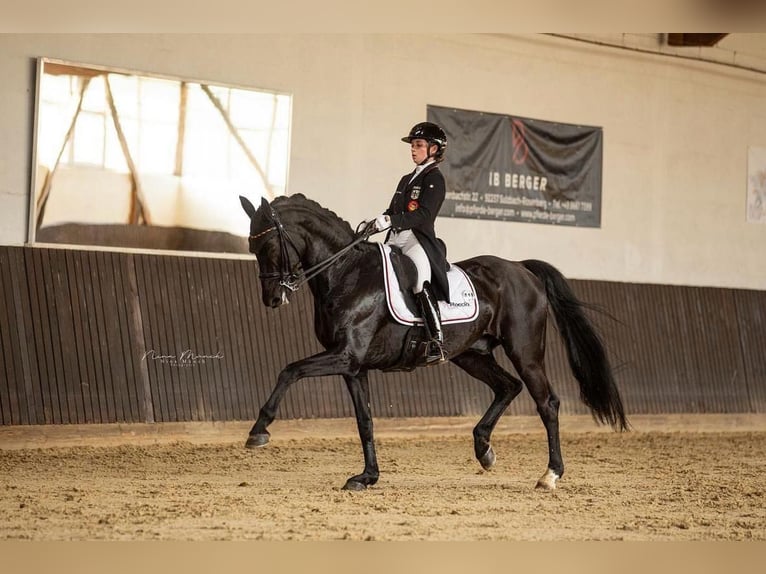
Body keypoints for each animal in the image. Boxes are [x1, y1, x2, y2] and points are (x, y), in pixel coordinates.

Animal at [240, 196, 632, 492]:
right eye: (251, 246)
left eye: (268, 244)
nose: (272, 299)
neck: (347, 273)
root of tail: (521, 268)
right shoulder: (353, 366)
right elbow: (365, 421)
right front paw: (367, 477)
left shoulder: (344, 356)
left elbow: (290, 370)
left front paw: (259, 431)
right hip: (471, 355)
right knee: (508, 386)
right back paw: (484, 450)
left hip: (525, 352)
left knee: (546, 403)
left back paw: (550, 475)